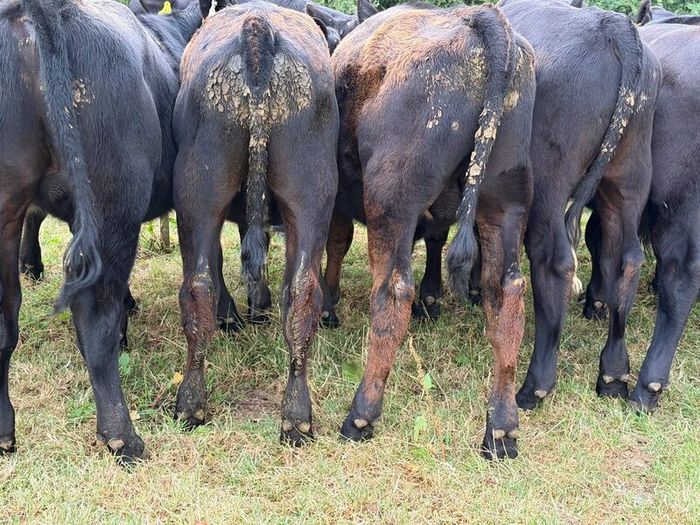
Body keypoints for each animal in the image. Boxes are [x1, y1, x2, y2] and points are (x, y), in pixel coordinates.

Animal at [172, 1, 339, 445]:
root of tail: (257, 30)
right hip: (309, 193)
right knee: (301, 291)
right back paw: (296, 415)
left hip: (198, 196)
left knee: (200, 284)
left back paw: (190, 403)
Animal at [324, 1, 536, 460]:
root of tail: (473, 20)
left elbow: (335, 244)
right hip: (504, 205)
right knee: (506, 295)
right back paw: (501, 429)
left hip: (391, 201)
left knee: (392, 292)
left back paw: (361, 414)